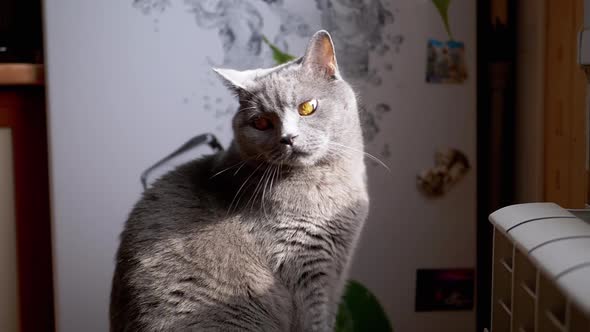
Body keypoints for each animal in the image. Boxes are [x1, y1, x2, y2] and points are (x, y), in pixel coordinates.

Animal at [111, 29, 370, 330]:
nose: (288, 138)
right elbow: (314, 322)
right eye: (261, 123)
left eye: (307, 107)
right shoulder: (303, 270)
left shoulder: (336, 276)